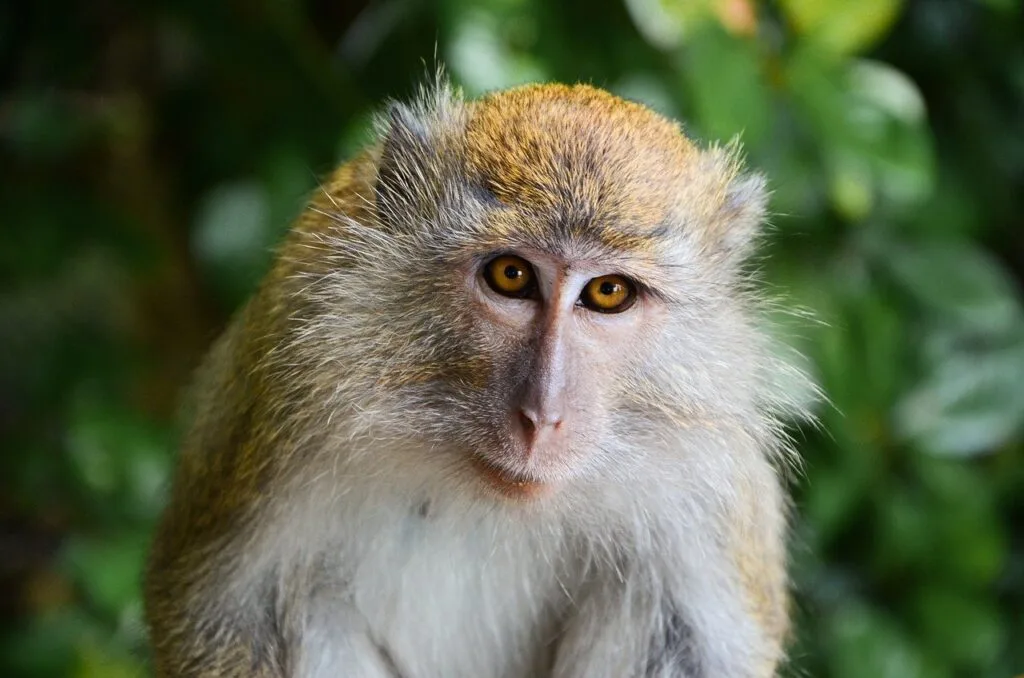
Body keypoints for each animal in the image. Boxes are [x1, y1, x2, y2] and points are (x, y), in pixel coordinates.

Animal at [144, 79, 811, 678]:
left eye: (608, 292)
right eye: (511, 276)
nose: (543, 416)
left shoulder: (710, 481)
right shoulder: (290, 386)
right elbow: (226, 612)